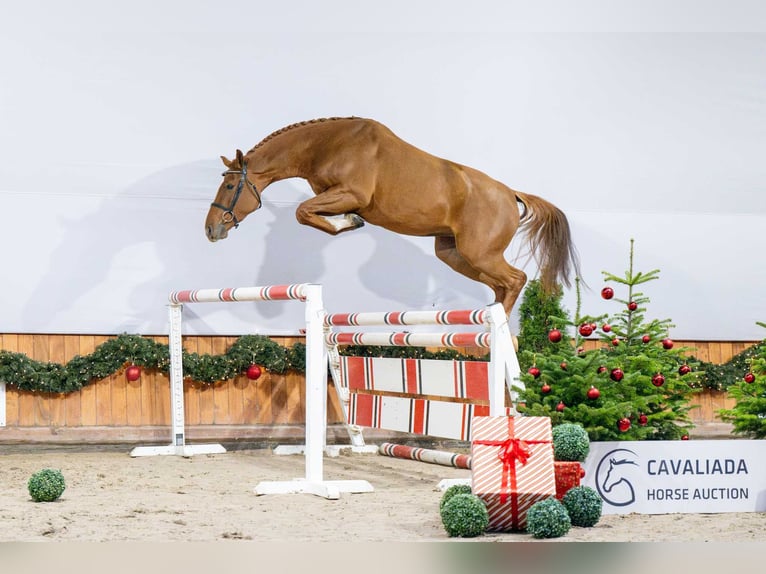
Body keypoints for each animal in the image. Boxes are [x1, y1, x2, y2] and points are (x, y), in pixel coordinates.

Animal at [205, 117, 581, 315]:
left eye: (229, 186)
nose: (211, 230)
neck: (327, 144)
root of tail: (510, 193)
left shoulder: (351, 193)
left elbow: (302, 212)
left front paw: (348, 222)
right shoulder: (332, 195)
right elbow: (308, 213)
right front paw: (347, 222)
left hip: (480, 253)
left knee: (516, 279)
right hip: (454, 254)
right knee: (501, 285)